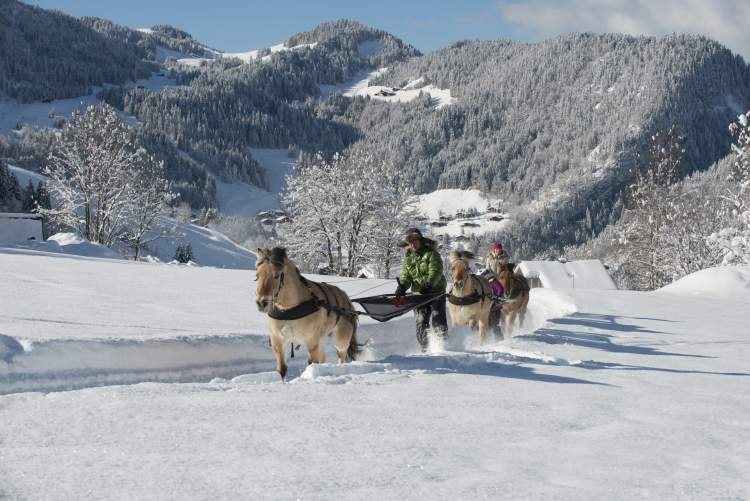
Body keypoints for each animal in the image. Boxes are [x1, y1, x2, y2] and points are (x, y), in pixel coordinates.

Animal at [254, 246, 360, 378]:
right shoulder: (278, 341)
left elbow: (312, 363)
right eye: (257, 276)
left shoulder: (311, 341)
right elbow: (282, 370)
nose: (261, 303)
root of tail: (345, 299)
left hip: (340, 340)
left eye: (277, 275)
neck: (289, 309)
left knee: (341, 357)